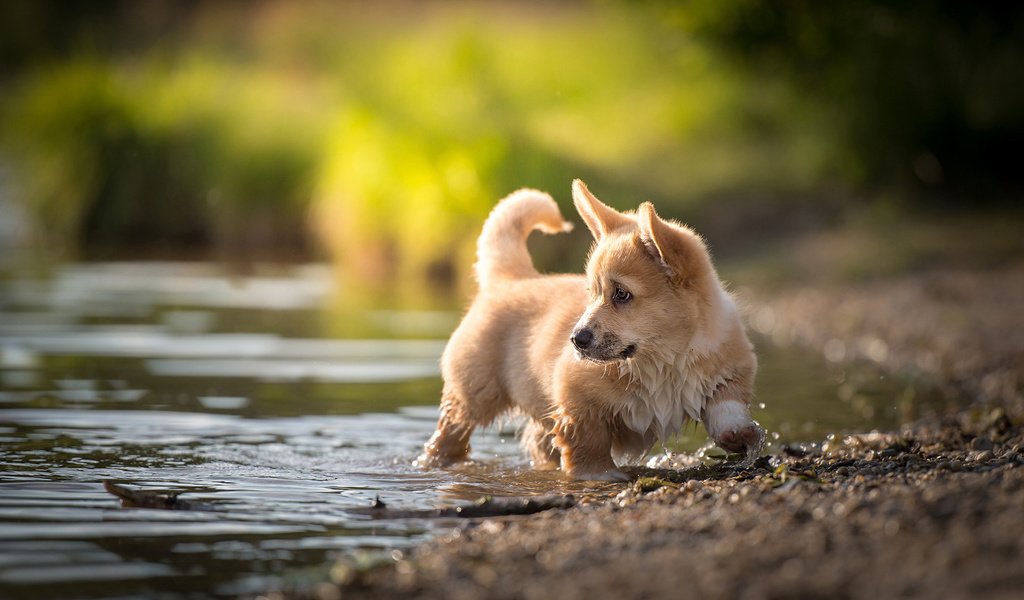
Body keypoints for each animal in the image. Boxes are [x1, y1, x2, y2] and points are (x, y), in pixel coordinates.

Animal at [415, 180, 761, 479]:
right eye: (591, 292)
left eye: (621, 294)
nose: (575, 340)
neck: (663, 361)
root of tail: (510, 279)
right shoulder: (576, 400)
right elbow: (588, 441)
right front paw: (598, 474)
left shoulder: (729, 372)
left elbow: (726, 408)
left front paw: (742, 436)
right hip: (472, 393)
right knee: (450, 433)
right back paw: (434, 462)